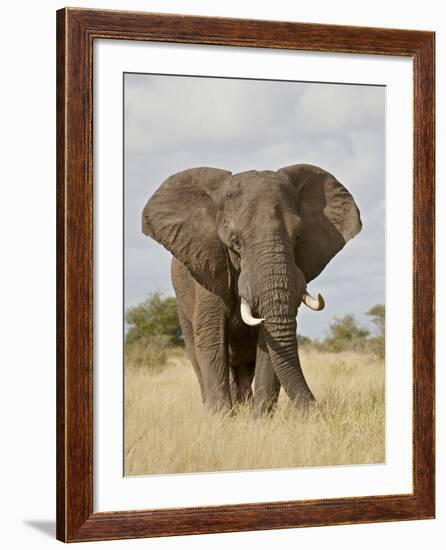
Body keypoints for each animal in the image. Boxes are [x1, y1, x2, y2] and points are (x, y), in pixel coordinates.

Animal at [143, 166, 362, 416]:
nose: (318, 413)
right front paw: (221, 419)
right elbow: (212, 338)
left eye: (297, 236)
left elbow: (267, 342)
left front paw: (259, 420)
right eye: (235, 242)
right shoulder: (209, 267)